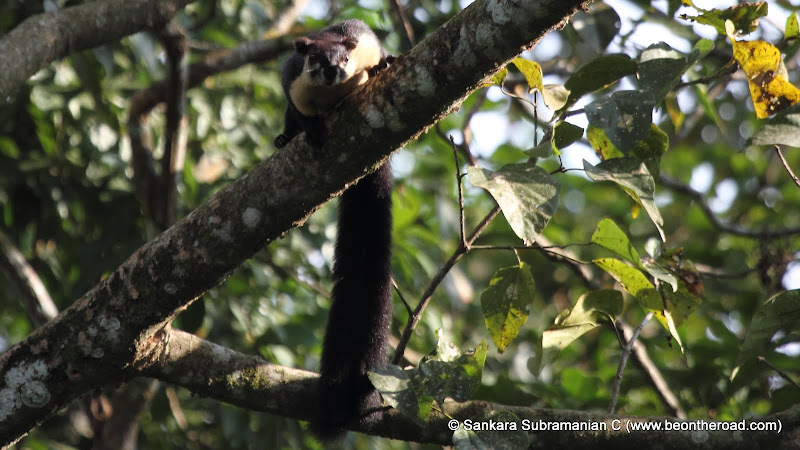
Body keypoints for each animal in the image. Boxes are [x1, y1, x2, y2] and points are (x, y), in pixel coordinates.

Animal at [273, 19, 395, 440]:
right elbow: (297, 109)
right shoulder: (293, 81)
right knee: (288, 123)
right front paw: (309, 131)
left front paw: (383, 64)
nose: (331, 70)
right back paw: (285, 139)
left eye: (344, 58)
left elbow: (377, 53)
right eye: (314, 58)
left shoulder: (364, 40)